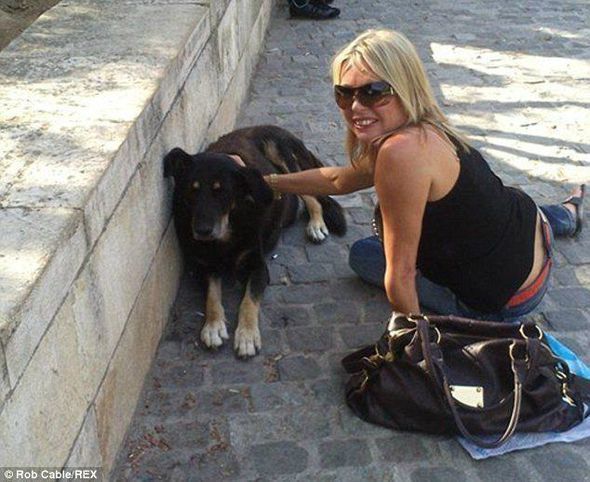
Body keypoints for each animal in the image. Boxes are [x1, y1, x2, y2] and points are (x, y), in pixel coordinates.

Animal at [164, 125, 346, 357]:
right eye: (192, 190)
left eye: (221, 191)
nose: (202, 231)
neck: (226, 234)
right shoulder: (204, 267)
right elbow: (212, 297)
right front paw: (213, 327)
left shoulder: (258, 267)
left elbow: (248, 301)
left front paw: (247, 336)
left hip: (282, 157)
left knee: (312, 197)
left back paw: (316, 225)